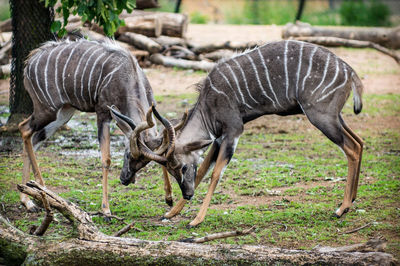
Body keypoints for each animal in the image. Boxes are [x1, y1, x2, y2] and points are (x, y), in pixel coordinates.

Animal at [18, 39, 175, 217]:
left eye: (143, 163)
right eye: (128, 154)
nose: (125, 180)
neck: (128, 73)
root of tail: (29, 62)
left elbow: (161, 150)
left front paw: (169, 198)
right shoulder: (103, 113)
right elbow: (106, 159)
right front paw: (106, 210)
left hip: (63, 113)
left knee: (34, 139)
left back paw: (30, 198)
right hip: (47, 110)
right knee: (24, 129)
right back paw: (37, 192)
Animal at [129, 39, 366, 227]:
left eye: (182, 167)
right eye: (171, 170)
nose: (188, 194)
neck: (209, 104)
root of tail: (350, 72)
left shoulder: (234, 131)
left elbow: (215, 173)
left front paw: (196, 219)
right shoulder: (219, 137)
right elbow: (204, 169)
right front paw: (171, 212)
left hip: (321, 117)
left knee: (352, 148)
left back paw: (342, 208)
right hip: (334, 117)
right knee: (360, 141)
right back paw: (352, 199)